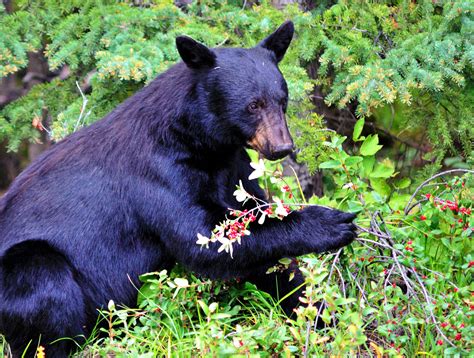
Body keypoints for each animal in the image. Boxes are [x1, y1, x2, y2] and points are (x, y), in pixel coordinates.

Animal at [0, 21, 356, 356]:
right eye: (253, 105)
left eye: (282, 101)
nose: (282, 147)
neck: (201, 141)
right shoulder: (161, 173)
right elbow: (205, 238)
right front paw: (329, 223)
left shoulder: (233, 164)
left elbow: (255, 226)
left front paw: (317, 314)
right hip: (22, 273)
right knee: (44, 286)